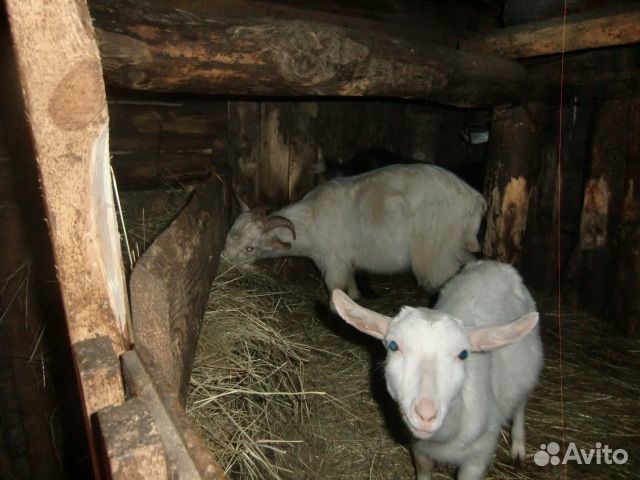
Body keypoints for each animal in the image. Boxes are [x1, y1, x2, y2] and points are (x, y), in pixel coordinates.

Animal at [222, 164, 486, 300]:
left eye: (250, 248)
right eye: (228, 236)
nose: (223, 266)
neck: (311, 220)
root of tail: (474, 199)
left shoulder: (332, 261)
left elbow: (335, 288)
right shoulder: (346, 260)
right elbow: (350, 283)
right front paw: (357, 298)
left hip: (436, 253)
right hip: (456, 245)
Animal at [331, 260, 543, 480]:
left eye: (463, 354)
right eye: (393, 346)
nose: (426, 415)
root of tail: (492, 264)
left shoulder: (479, 455)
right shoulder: (419, 446)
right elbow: (424, 467)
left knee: (520, 403)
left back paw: (518, 446)